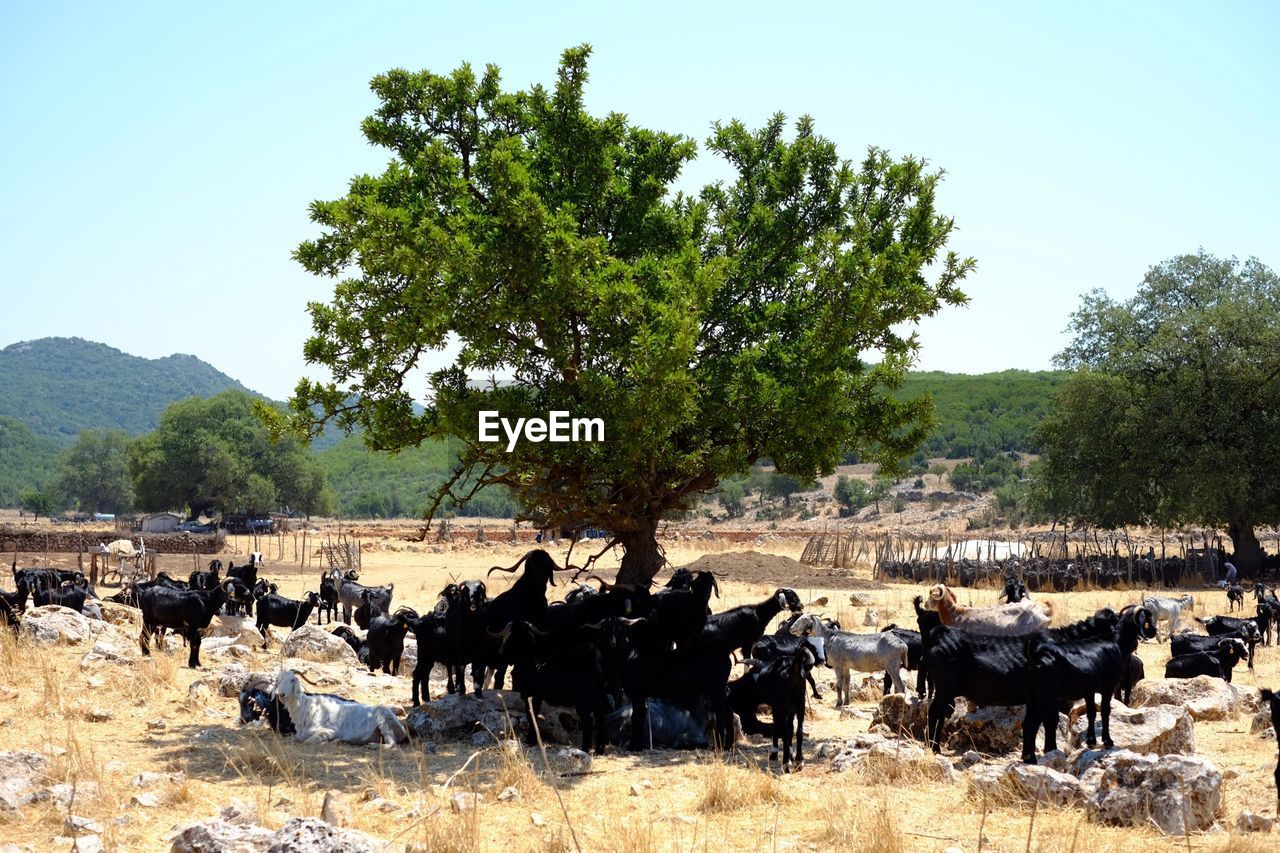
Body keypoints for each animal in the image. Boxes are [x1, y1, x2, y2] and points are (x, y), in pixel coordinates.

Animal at [276, 666, 409, 742]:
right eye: (278, 680)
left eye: (292, 680)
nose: (281, 695)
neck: (306, 708)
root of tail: (403, 730)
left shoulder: (331, 731)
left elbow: (308, 741)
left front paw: (333, 741)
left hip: (382, 717)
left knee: (392, 745)